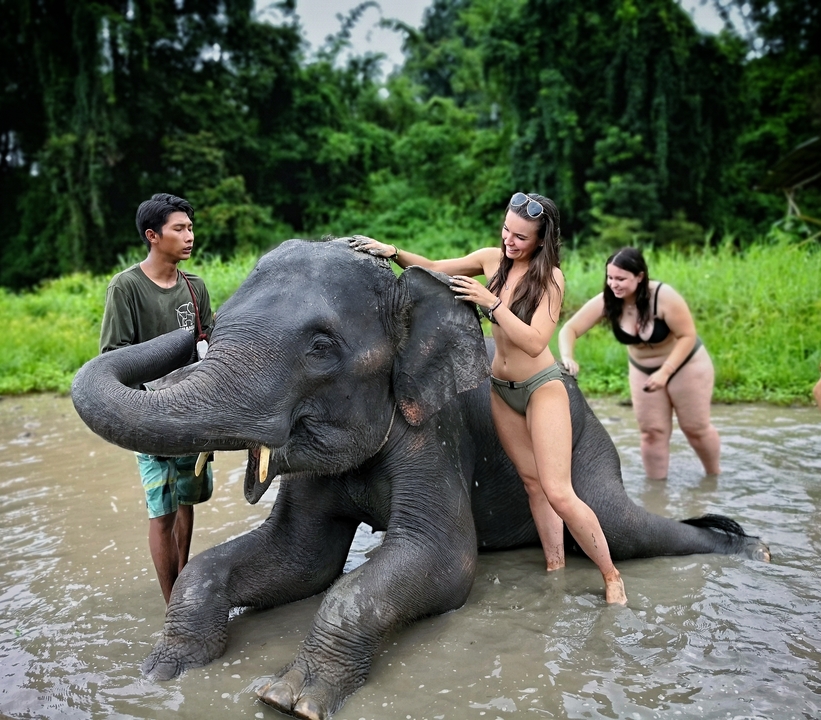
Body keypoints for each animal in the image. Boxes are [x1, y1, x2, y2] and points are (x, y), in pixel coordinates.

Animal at [71, 238, 768, 720]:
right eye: (214, 327)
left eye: (321, 346)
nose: (189, 326)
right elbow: (301, 558)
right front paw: (161, 671)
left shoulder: (434, 429)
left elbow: (441, 560)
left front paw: (290, 698)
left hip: (582, 447)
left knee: (616, 525)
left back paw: (745, 545)